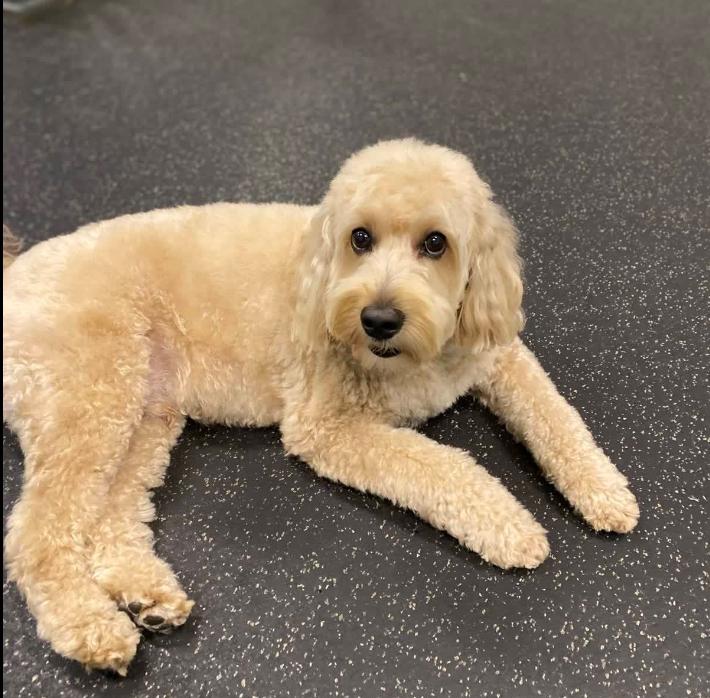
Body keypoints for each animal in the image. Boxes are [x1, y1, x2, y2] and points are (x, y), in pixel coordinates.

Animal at [2, 138, 639, 674]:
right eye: (360, 238)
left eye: (436, 243)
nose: (378, 318)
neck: (420, 358)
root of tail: (15, 271)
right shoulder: (327, 427)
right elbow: (446, 467)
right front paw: (510, 525)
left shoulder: (498, 355)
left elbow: (556, 417)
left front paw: (605, 490)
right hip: (92, 399)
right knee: (38, 533)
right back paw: (90, 627)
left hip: (142, 416)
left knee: (109, 517)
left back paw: (146, 595)